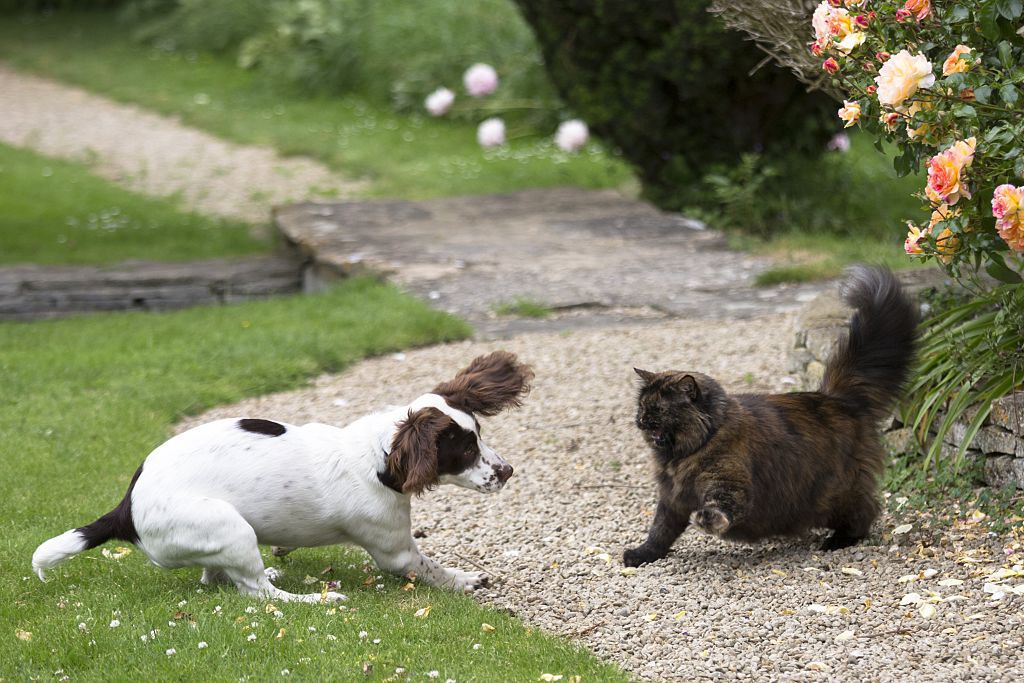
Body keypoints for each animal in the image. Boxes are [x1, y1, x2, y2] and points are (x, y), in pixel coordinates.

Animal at [33, 352, 532, 602]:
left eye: (480, 434)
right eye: (463, 449)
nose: (507, 471)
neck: (376, 454)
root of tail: (126, 508)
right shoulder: (396, 552)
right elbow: (432, 569)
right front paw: (465, 580)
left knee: (221, 578)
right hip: (229, 526)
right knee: (260, 595)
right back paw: (315, 600)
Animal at [622, 266, 921, 565]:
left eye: (658, 409)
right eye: (641, 406)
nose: (641, 420)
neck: (684, 454)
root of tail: (836, 397)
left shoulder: (727, 483)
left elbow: (719, 507)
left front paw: (707, 520)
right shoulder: (672, 499)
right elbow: (660, 531)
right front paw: (641, 555)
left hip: (832, 494)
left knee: (866, 511)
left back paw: (838, 541)